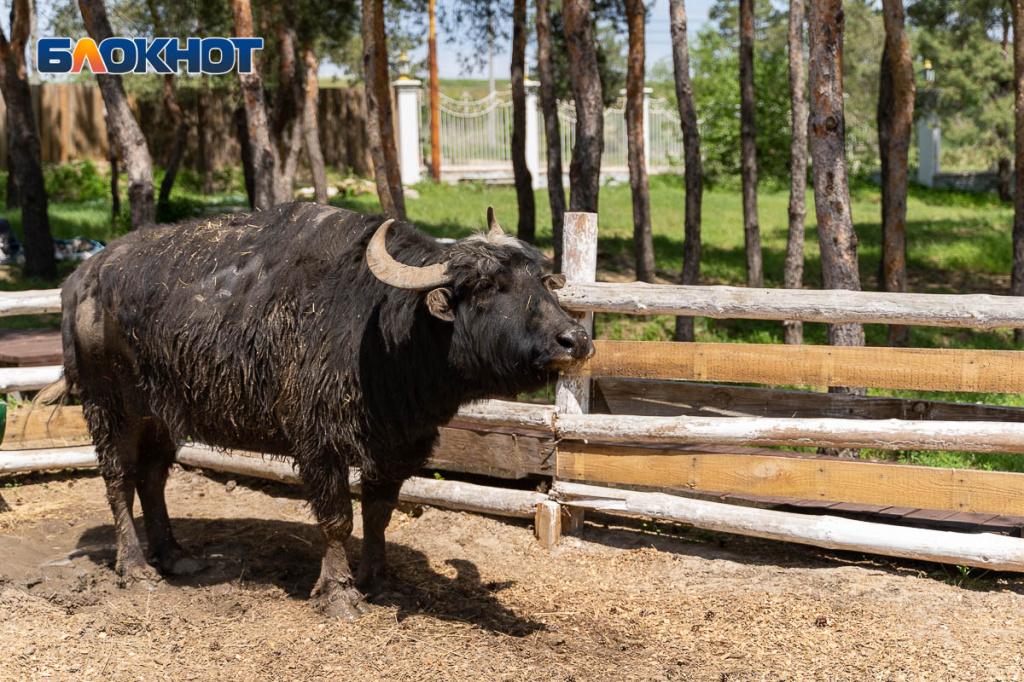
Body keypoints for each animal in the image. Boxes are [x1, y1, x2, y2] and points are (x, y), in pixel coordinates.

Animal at [57, 202, 593, 618]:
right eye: (485, 285)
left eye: (542, 280)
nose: (576, 339)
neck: (386, 333)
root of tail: (82, 278)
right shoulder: (320, 445)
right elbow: (337, 520)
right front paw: (338, 593)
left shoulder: (397, 444)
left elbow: (379, 513)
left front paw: (377, 579)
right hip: (110, 405)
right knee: (119, 478)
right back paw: (136, 568)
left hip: (163, 413)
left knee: (152, 476)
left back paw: (174, 556)